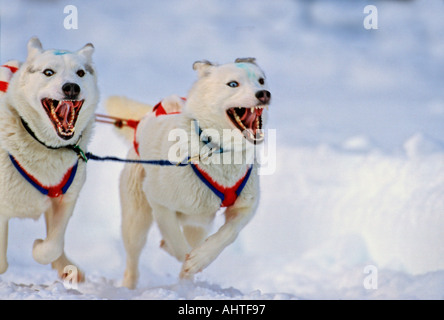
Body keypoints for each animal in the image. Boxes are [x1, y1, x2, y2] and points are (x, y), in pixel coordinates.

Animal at [0, 37, 98, 282]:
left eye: (80, 72)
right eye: (48, 72)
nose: (71, 87)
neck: (46, 147)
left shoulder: (66, 198)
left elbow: (52, 246)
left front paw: (39, 247)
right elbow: (2, 264)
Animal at [107, 58, 270, 290]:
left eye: (261, 80)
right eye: (233, 84)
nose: (264, 94)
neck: (216, 148)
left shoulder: (246, 207)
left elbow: (229, 233)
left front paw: (200, 258)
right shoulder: (159, 201)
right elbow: (174, 236)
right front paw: (183, 254)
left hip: (198, 222)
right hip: (136, 220)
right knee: (133, 260)